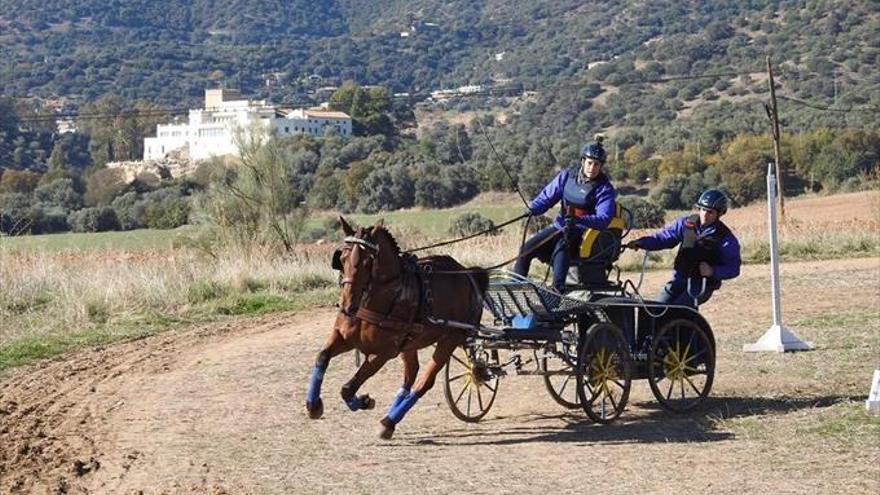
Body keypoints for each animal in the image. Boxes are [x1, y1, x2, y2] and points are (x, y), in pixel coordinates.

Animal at [306, 219, 488, 440]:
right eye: (342, 257)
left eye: (368, 261)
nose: (347, 305)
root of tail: (468, 276)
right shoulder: (344, 337)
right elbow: (322, 356)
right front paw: (313, 406)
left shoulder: (383, 353)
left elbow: (347, 389)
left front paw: (364, 401)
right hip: (410, 344)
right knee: (410, 375)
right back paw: (389, 421)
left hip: (449, 340)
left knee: (423, 382)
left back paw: (389, 421)